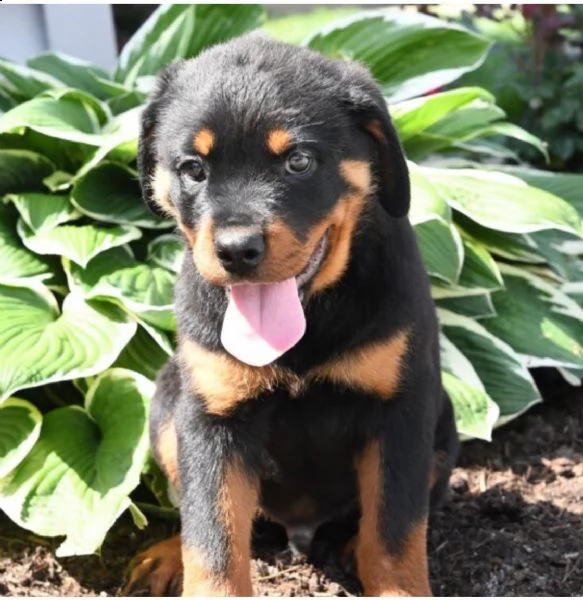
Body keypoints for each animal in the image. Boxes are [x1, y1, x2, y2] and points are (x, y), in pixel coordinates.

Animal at [124, 34, 460, 600]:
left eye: (298, 162)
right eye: (193, 169)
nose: (237, 250)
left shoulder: (401, 409)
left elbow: (394, 529)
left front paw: (396, 587)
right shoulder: (211, 418)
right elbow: (211, 537)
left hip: (443, 424)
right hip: (168, 402)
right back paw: (164, 556)